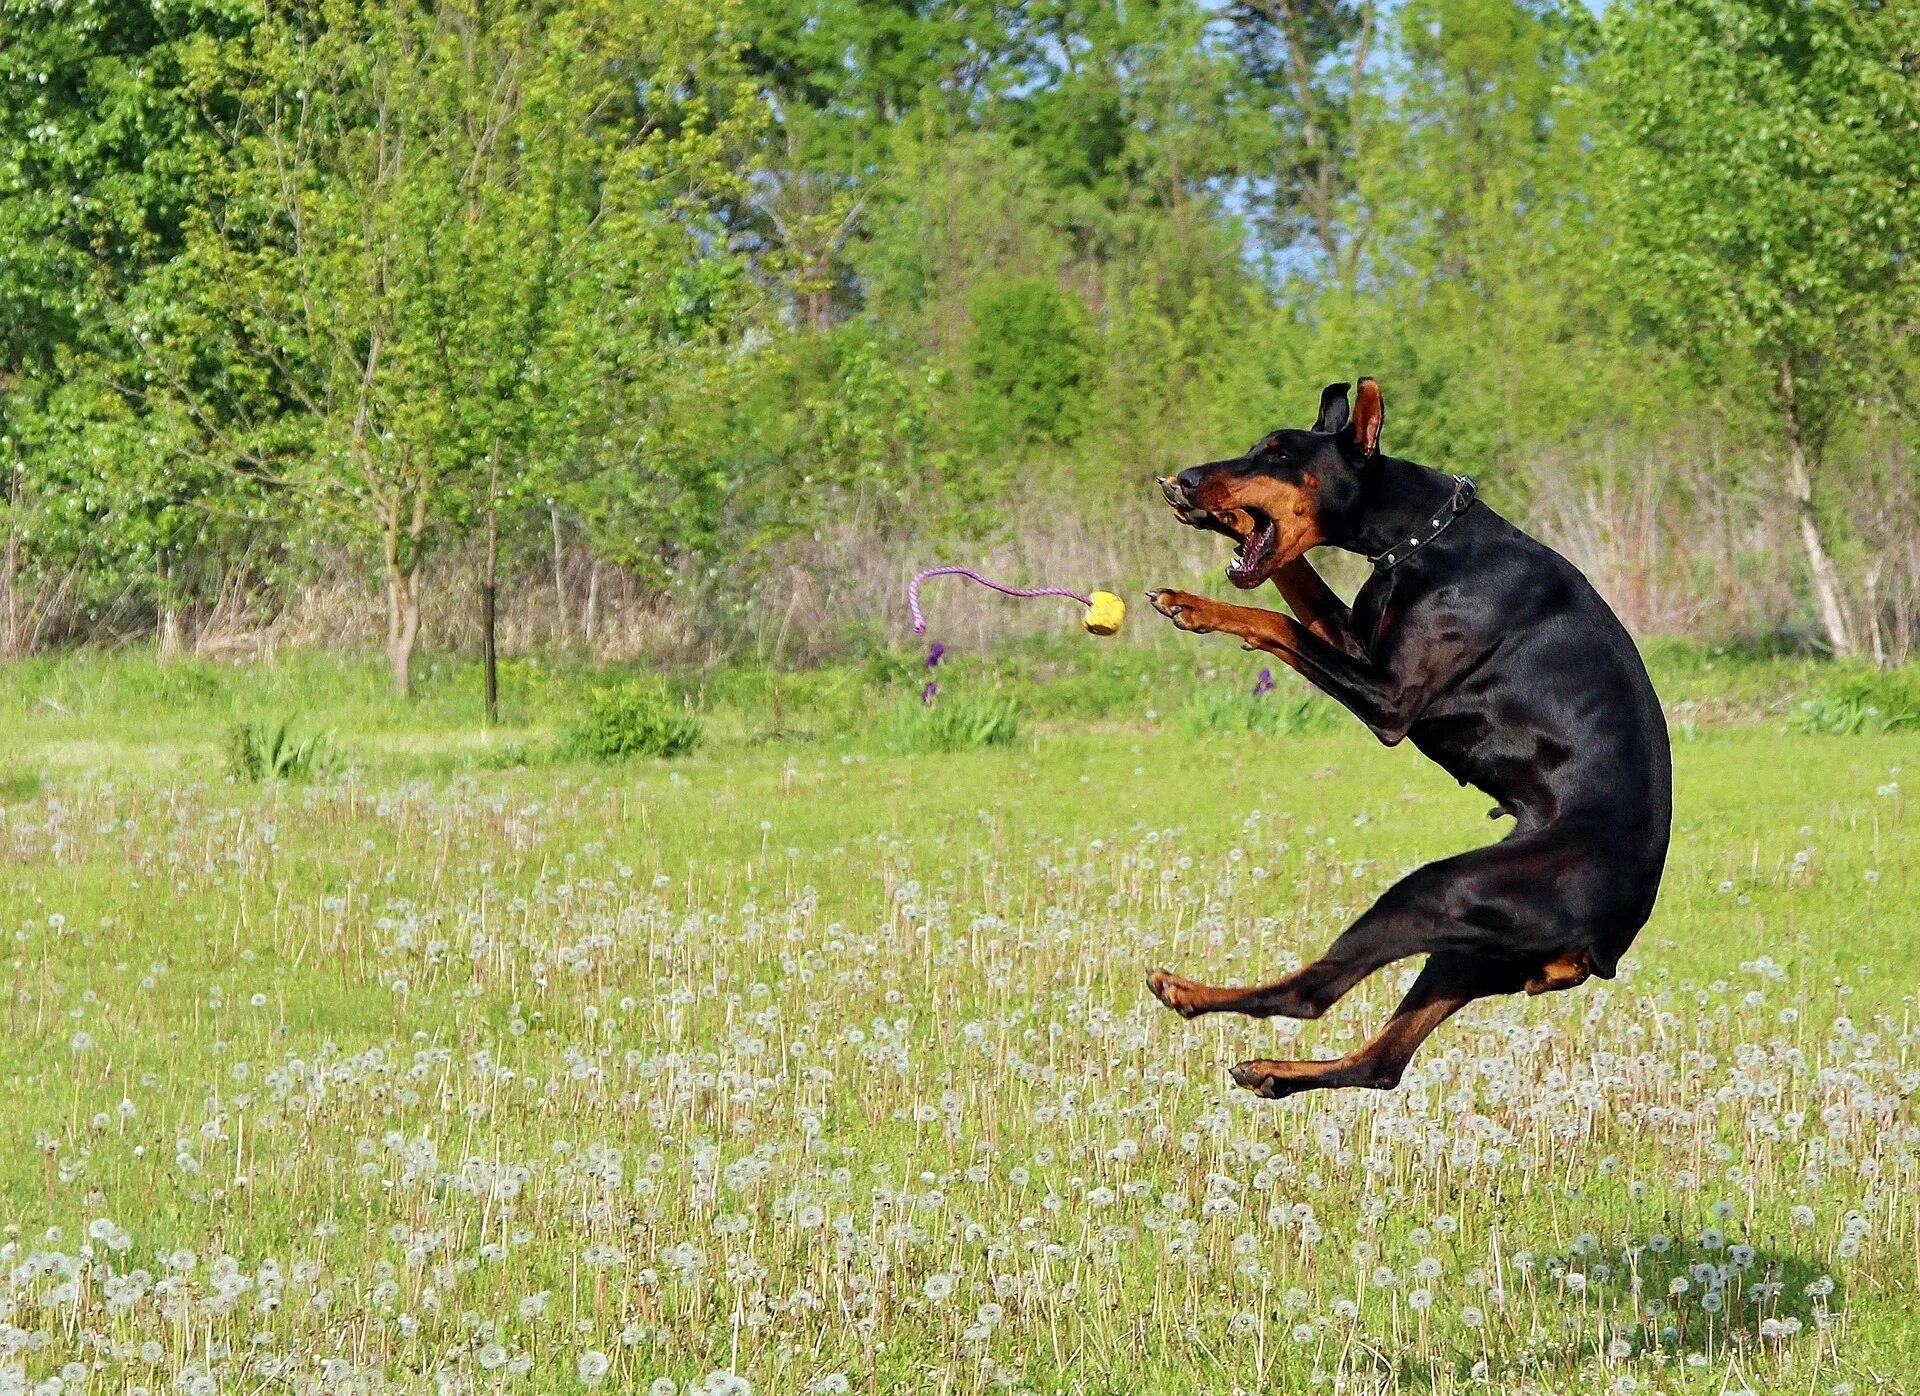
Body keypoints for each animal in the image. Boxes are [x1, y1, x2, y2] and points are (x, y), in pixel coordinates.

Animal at [1144, 380, 1674, 1106]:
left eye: (1279, 453)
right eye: (1254, 448)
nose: (1191, 479)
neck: (1420, 540)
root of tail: (1605, 943)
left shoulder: (1390, 699)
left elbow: (1277, 620)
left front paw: (1194, 605)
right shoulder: (1355, 637)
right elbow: (1300, 585)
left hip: (1439, 890)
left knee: (1311, 993)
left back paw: (1190, 992)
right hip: (1470, 952)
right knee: (1383, 1062)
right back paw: (1274, 1072)